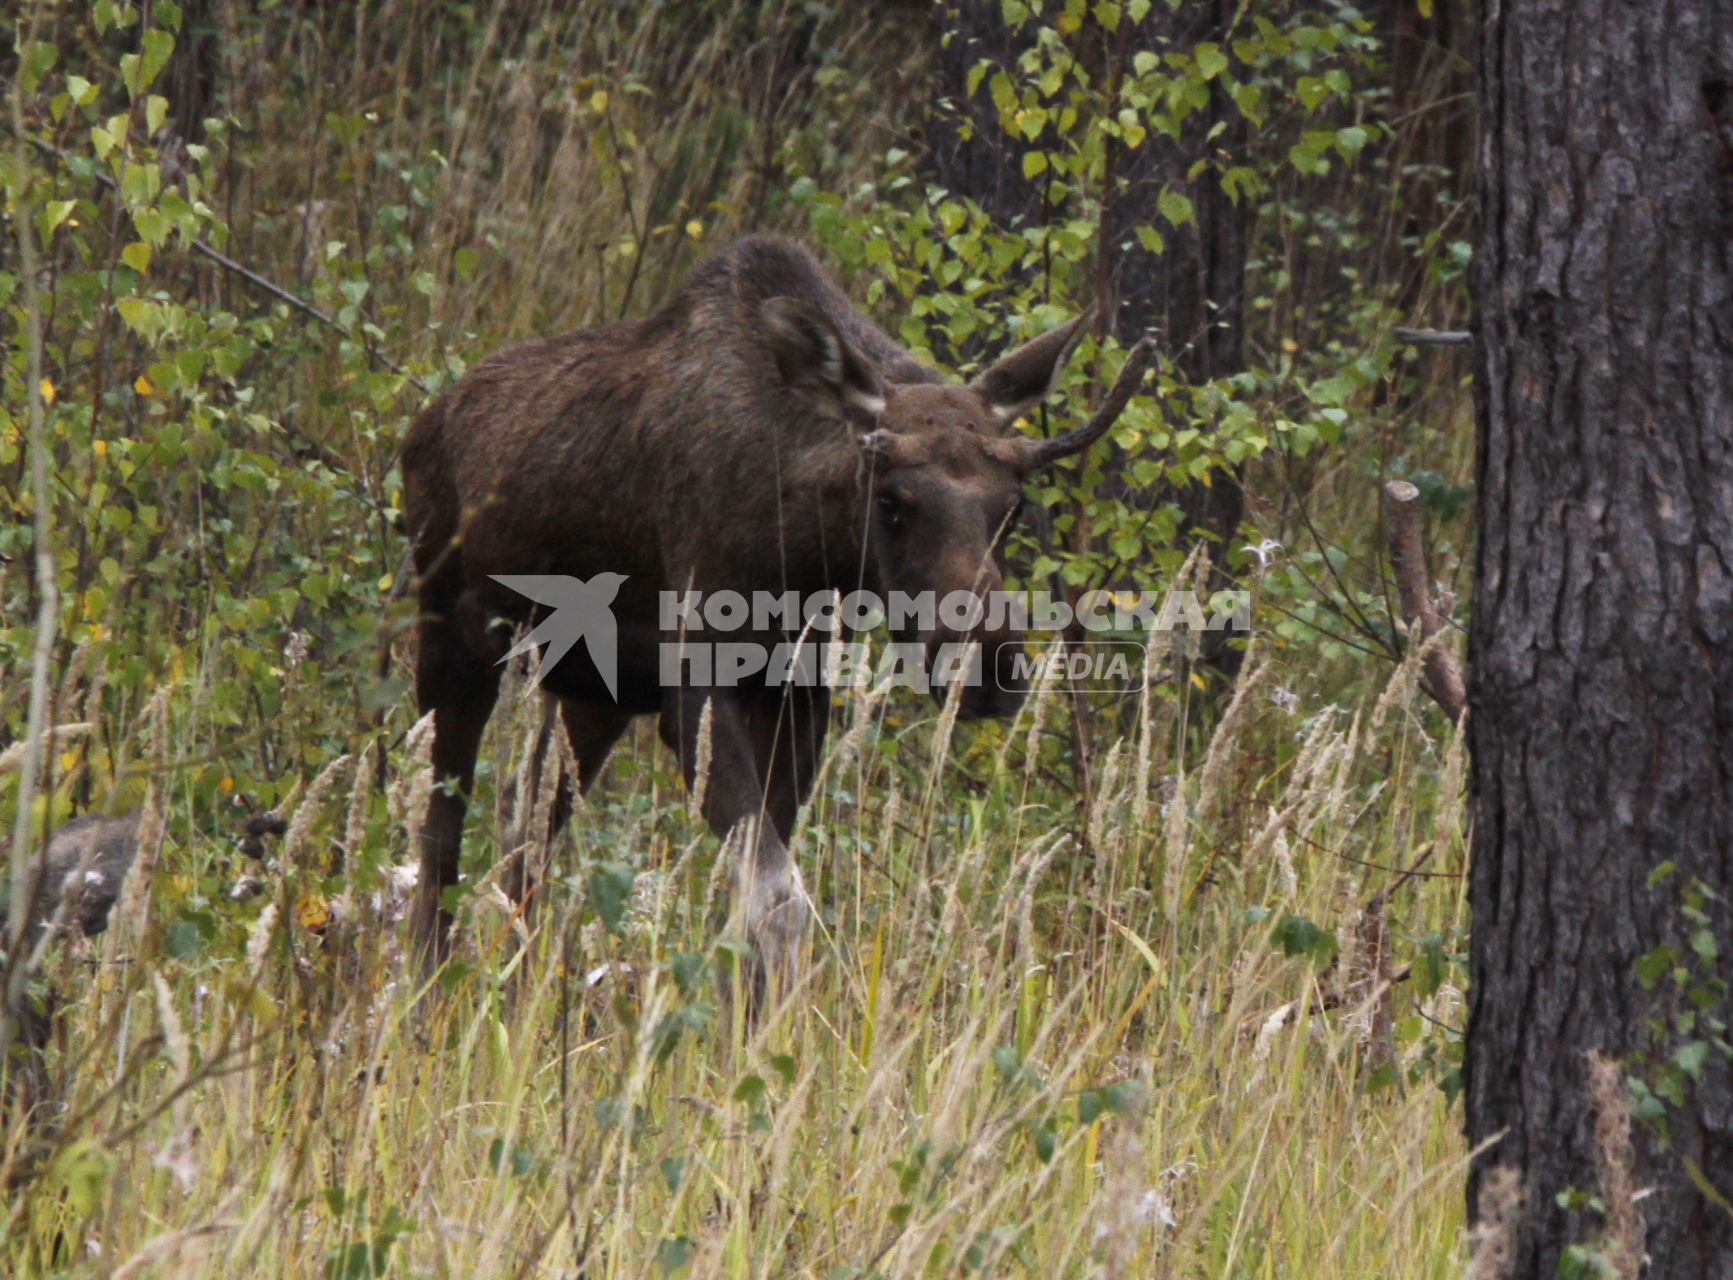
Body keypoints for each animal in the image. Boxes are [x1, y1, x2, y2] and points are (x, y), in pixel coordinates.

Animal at [400, 232, 1157, 990]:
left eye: (1013, 507)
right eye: (891, 502)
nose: (987, 668)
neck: (800, 552)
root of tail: (423, 425)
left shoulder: (794, 698)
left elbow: (753, 903)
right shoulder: (697, 694)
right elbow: (776, 897)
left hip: (591, 695)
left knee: (521, 832)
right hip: (451, 639)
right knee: (440, 836)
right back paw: (428, 988)